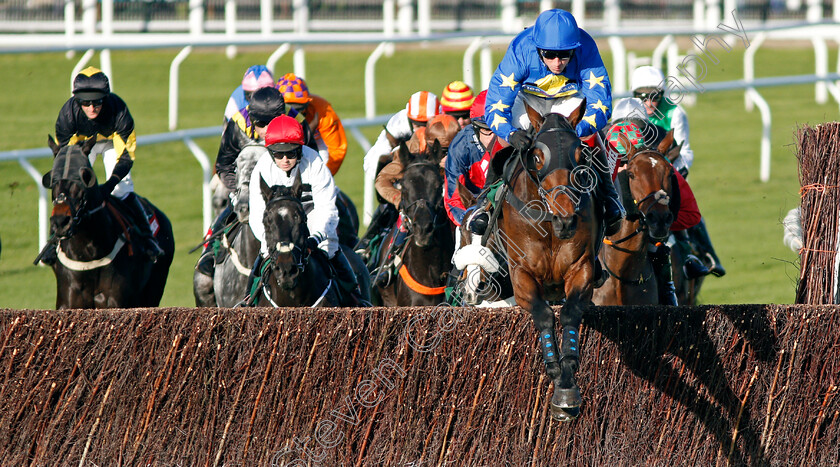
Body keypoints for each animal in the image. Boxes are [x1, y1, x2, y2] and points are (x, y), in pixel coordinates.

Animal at [42, 137, 176, 308]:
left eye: (85, 176)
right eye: (53, 179)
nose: (60, 222)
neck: (88, 252)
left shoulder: (118, 301)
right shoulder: (68, 300)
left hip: (154, 286)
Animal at [492, 104, 604, 422]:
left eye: (580, 155)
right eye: (537, 156)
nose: (566, 220)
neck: (547, 225)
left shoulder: (581, 269)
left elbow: (569, 312)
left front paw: (567, 382)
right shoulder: (521, 275)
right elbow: (542, 313)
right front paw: (554, 366)